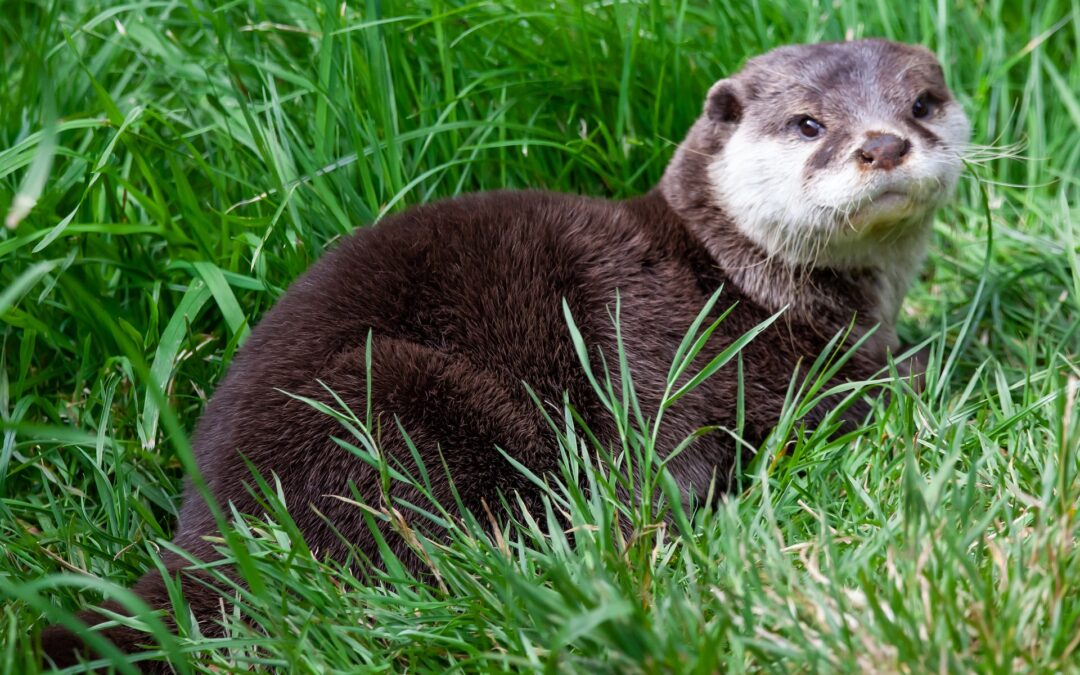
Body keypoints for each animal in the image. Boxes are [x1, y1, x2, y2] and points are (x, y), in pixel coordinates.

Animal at [41, 39, 970, 668]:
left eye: (923, 103)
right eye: (809, 124)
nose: (883, 143)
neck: (738, 277)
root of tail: (214, 530)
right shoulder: (689, 349)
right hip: (392, 398)